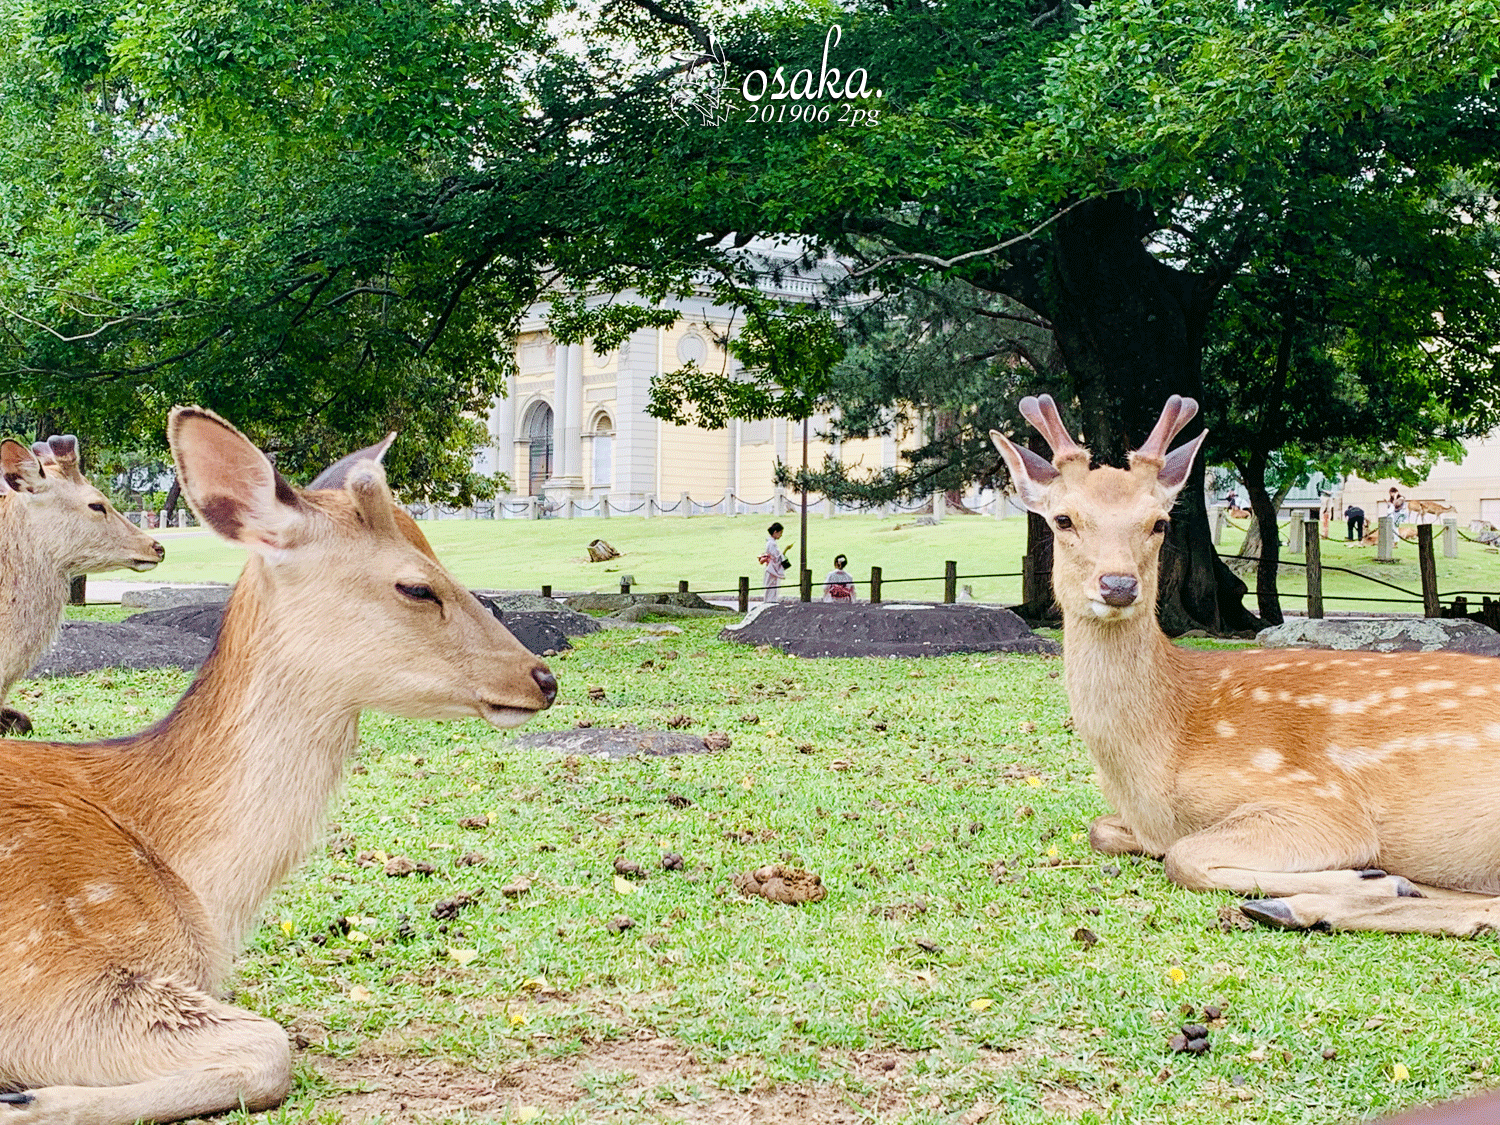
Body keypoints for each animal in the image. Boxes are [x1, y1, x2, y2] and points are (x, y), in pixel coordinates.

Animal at [996, 396, 1500, 942]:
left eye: (1159, 523)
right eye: (1063, 519)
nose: (1118, 584)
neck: (1156, 767)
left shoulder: (1320, 801)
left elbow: (1182, 856)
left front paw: (1373, 875)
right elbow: (1102, 830)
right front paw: (1386, 880)